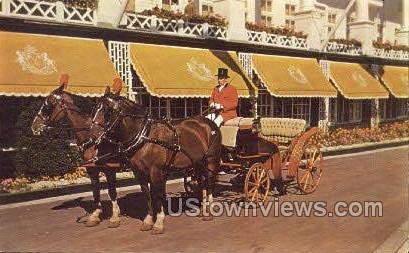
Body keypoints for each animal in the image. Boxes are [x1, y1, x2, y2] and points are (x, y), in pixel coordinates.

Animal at [30, 85, 127, 227]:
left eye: (48, 104)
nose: (34, 126)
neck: (92, 139)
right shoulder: (91, 169)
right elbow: (95, 191)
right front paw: (95, 215)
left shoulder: (110, 169)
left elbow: (112, 191)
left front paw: (114, 216)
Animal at [92, 89, 222, 235]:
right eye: (95, 108)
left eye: (108, 111)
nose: (93, 135)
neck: (145, 135)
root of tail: (208, 122)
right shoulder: (139, 173)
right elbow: (147, 195)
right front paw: (148, 220)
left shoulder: (156, 172)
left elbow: (157, 195)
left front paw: (159, 223)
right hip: (197, 163)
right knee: (202, 183)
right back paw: (203, 210)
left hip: (211, 160)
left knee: (210, 183)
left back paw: (209, 212)